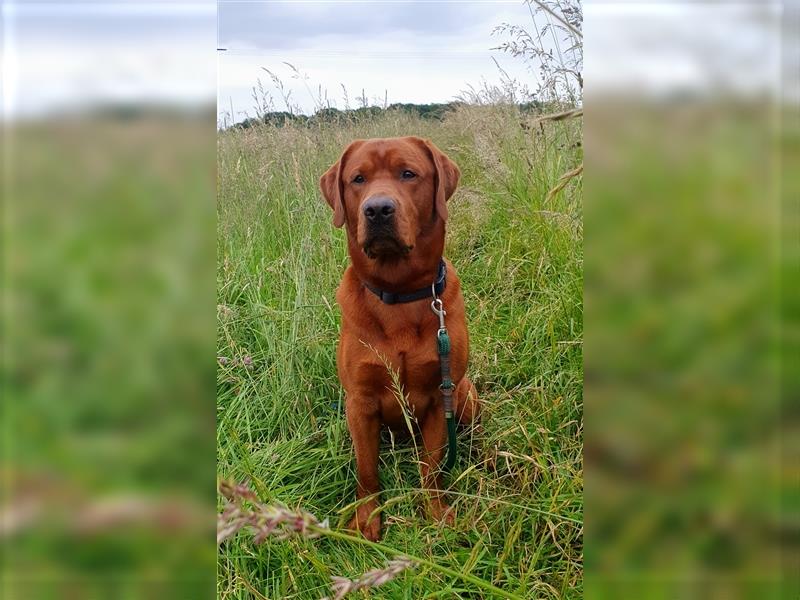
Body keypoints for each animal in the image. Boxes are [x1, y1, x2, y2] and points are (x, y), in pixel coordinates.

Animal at [320, 138, 482, 540]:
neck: (399, 293)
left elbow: (432, 467)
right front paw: (366, 521)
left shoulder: (440, 397)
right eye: (357, 179)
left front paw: (435, 512)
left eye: (408, 173)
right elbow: (367, 471)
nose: (377, 209)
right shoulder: (360, 403)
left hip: (464, 394)